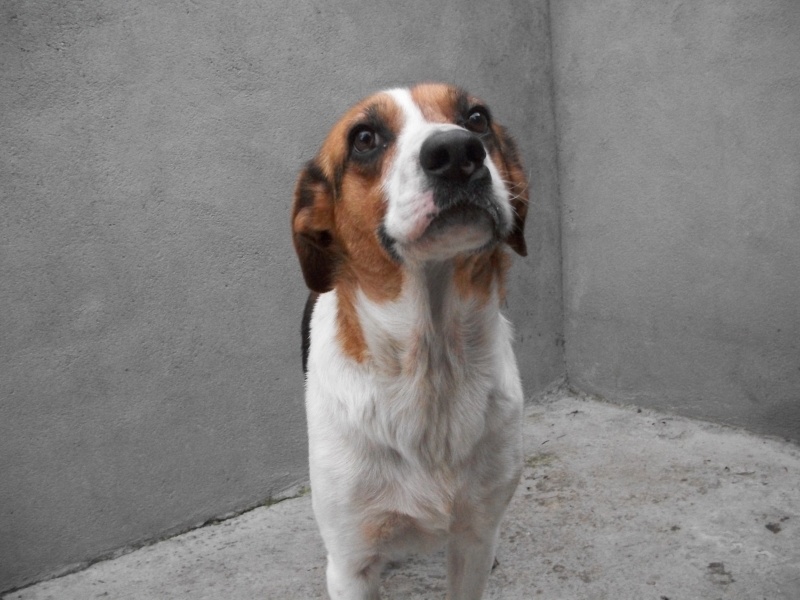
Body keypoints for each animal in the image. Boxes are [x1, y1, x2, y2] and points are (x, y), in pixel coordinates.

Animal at [290, 81, 528, 600]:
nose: (457, 152)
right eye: (364, 138)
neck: (432, 365)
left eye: (477, 118)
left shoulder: (474, 537)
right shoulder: (350, 565)